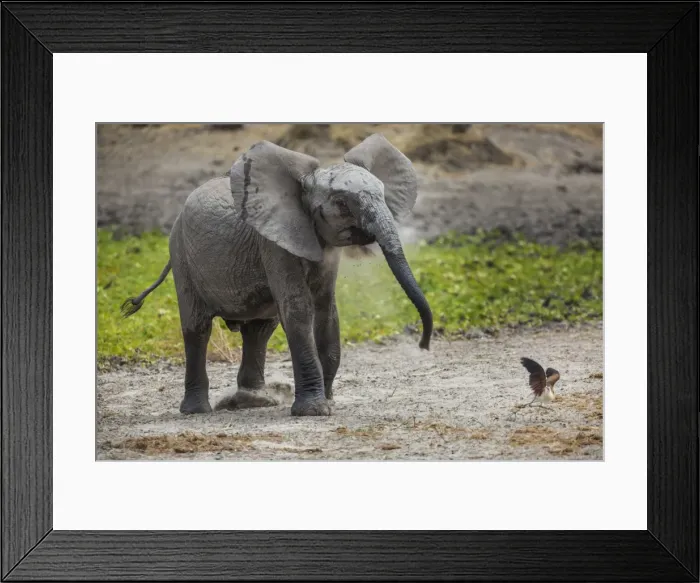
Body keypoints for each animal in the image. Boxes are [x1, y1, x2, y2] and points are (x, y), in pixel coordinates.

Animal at [120, 133, 433, 417]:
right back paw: (197, 411)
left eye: (383, 193)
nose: (424, 345)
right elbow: (299, 310)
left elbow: (326, 311)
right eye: (342, 204)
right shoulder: (272, 244)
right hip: (181, 253)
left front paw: (328, 403)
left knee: (259, 329)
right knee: (197, 327)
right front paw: (314, 411)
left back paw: (254, 401)